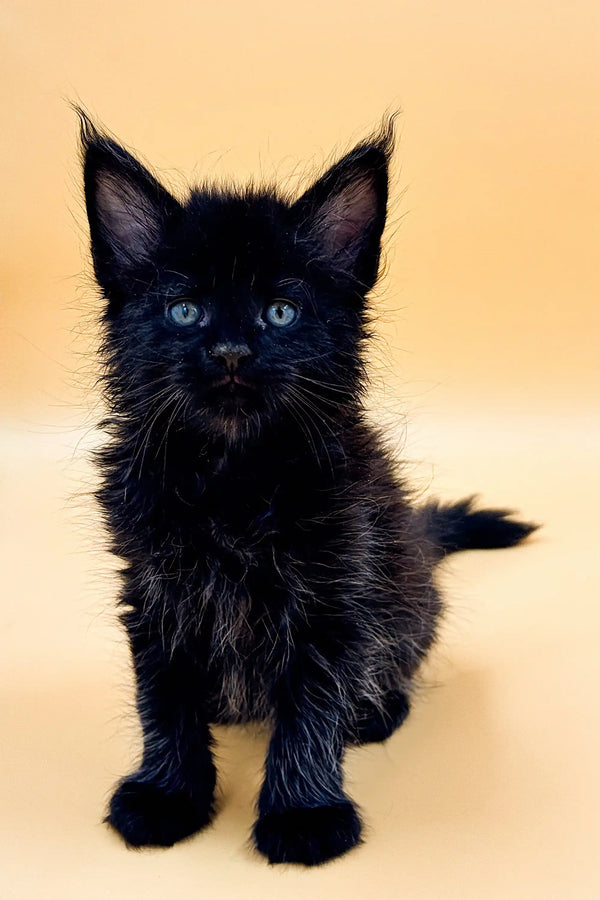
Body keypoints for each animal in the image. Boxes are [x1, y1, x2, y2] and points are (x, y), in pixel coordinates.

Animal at [78, 112, 536, 864]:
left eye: (281, 312)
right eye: (184, 311)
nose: (232, 352)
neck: (233, 477)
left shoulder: (334, 593)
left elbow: (310, 709)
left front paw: (303, 814)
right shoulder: (154, 588)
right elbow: (164, 701)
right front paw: (167, 795)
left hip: (405, 601)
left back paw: (373, 713)